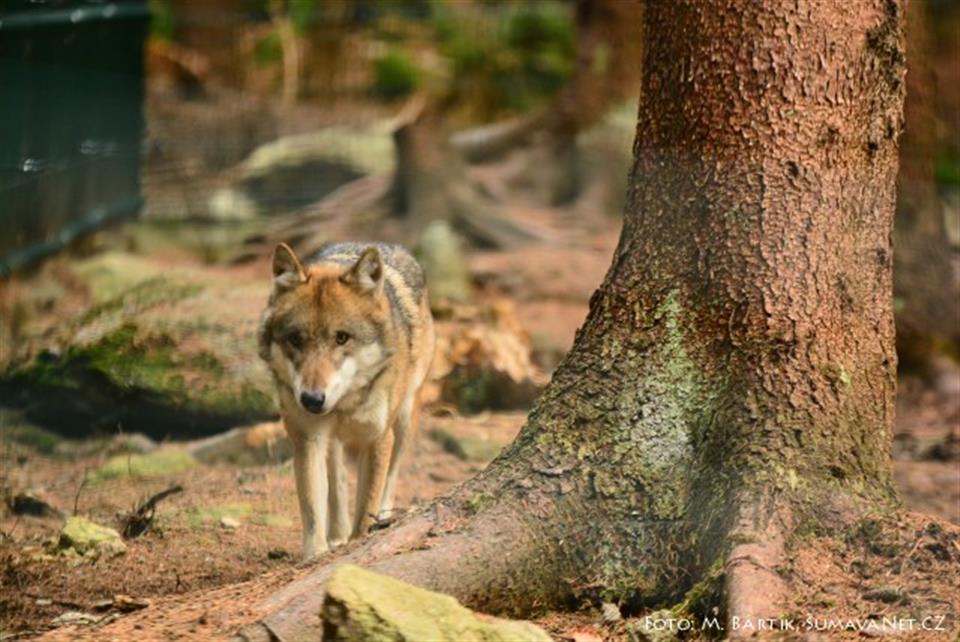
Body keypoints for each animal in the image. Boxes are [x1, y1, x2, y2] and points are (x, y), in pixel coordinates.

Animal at [258, 241, 435, 560]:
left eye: (342, 338)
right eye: (295, 339)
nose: (312, 400)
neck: (343, 404)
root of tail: (392, 246)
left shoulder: (378, 439)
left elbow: (367, 504)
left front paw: (361, 543)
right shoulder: (308, 440)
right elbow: (313, 510)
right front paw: (316, 555)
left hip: (404, 421)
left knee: (391, 477)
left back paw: (382, 519)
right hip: (333, 442)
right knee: (337, 481)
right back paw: (337, 536)